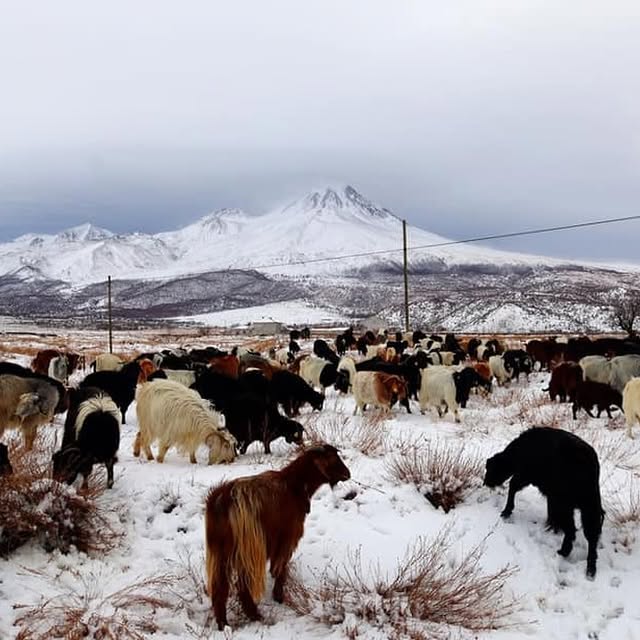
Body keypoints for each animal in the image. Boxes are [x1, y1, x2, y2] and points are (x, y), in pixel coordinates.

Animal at [206, 444, 350, 632]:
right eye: (332, 458)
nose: (347, 474)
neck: (293, 485)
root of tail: (222, 502)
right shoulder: (287, 538)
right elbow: (281, 568)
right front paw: (279, 596)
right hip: (247, 549)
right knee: (243, 586)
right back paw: (256, 616)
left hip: (220, 551)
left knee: (220, 587)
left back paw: (224, 624)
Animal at [484, 424, 604, 580]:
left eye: (490, 468)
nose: (485, 482)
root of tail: (587, 461)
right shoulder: (551, 495)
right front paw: (552, 525)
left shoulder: (526, 476)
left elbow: (513, 486)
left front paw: (507, 511)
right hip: (589, 506)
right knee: (591, 535)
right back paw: (590, 568)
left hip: (568, 504)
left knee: (572, 530)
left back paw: (564, 552)